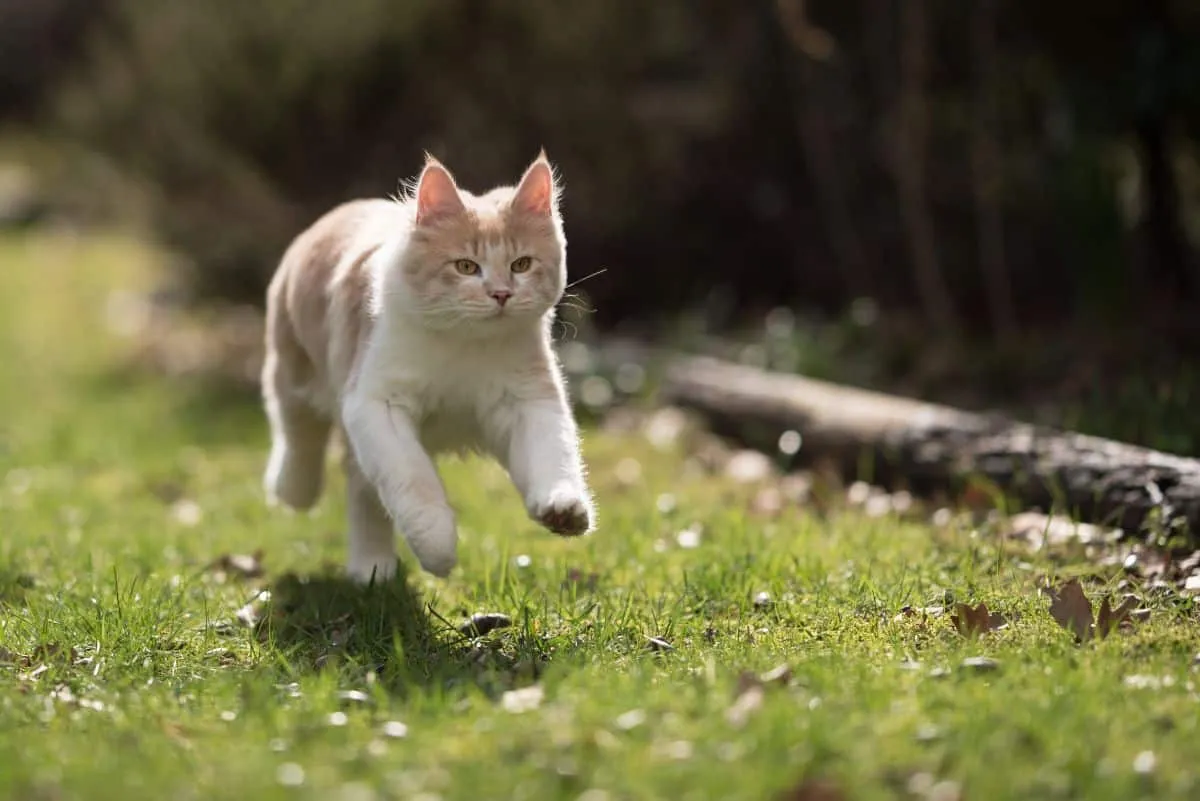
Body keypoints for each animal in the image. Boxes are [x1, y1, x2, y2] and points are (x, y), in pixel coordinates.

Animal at [265, 153, 597, 582]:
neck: (464, 344)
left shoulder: (529, 401)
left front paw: (563, 509)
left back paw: (372, 568)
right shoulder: (376, 404)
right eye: (466, 267)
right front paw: (438, 549)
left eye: (521, 264)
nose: (501, 294)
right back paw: (292, 491)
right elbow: (414, 479)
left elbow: (553, 457)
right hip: (293, 373)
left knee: (361, 492)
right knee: (298, 436)